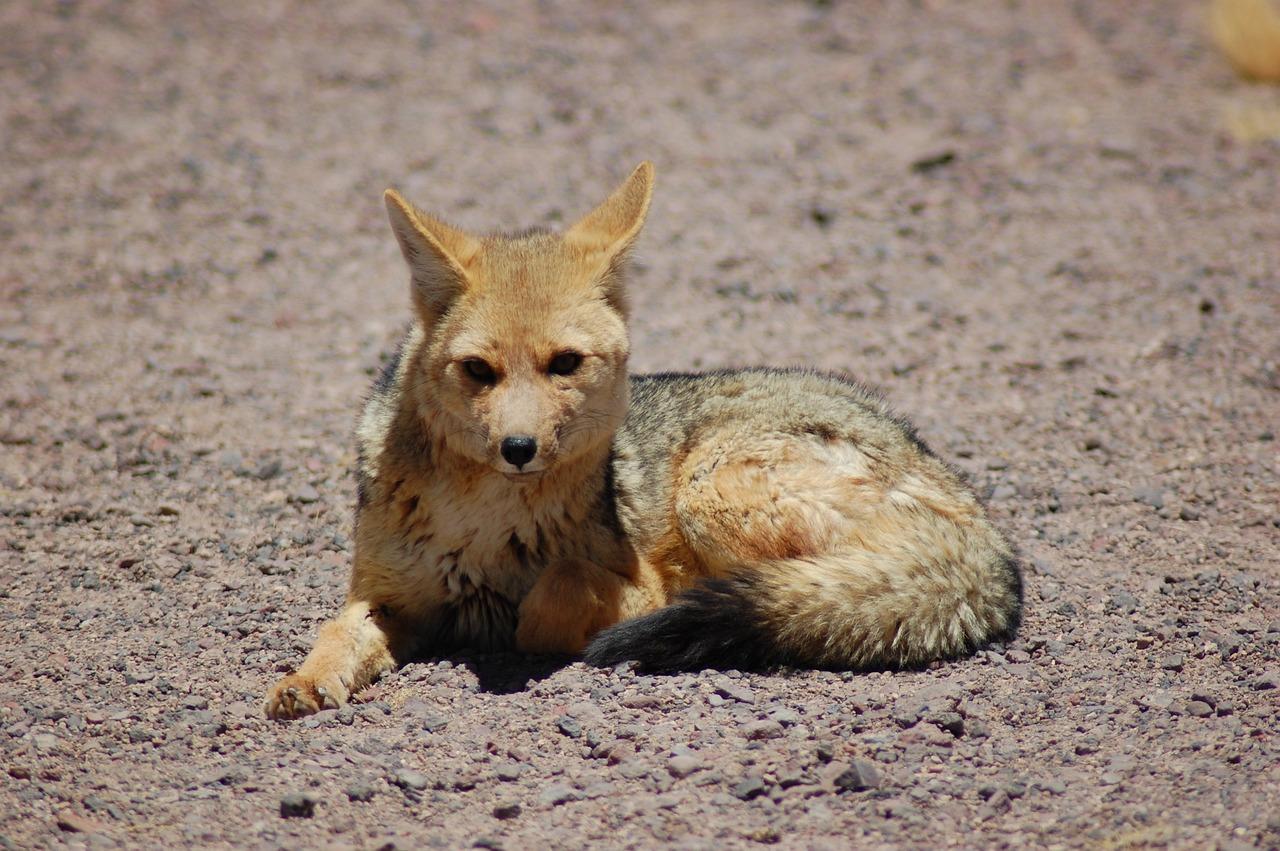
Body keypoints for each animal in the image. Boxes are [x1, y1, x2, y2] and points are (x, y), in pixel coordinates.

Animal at [264, 161, 1024, 716]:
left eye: (564, 363)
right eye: (478, 370)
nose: (518, 449)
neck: (480, 522)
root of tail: (986, 530)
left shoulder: (637, 579)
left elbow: (548, 601)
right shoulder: (388, 595)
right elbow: (337, 631)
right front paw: (305, 680)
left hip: (711, 492)